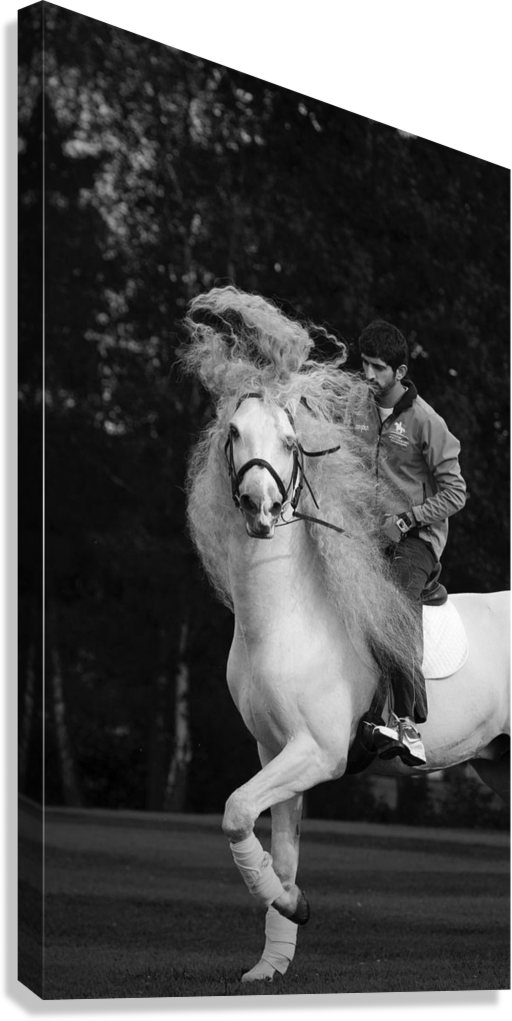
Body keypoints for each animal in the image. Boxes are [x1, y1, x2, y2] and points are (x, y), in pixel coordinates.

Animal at [182, 285, 510, 983]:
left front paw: (296, 908)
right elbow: (275, 849)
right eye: (233, 433)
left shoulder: (318, 752)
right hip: (501, 763)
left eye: (290, 440)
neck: (285, 620)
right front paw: (273, 958)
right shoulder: (274, 752)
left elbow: (234, 812)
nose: (258, 507)